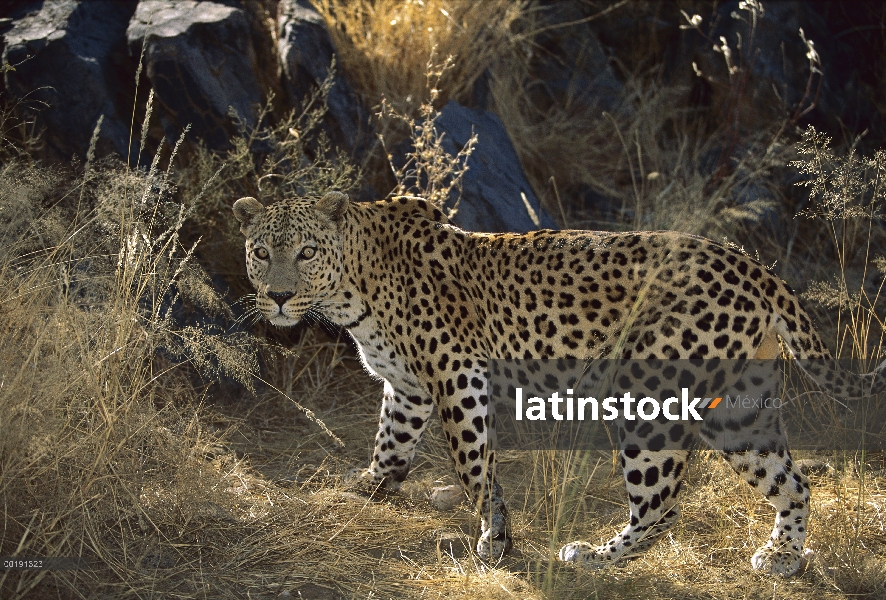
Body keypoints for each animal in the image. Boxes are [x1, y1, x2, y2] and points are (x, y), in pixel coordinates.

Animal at [232, 192, 884, 576]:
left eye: (306, 251)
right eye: (261, 252)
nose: (280, 296)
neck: (355, 284)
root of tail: (759, 271)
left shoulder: (456, 372)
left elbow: (474, 466)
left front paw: (495, 538)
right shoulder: (410, 389)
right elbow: (390, 447)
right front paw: (365, 488)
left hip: (644, 391)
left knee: (663, 502)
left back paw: (594, 555)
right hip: (739, 409)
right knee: (793, 480)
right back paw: (783, 556)